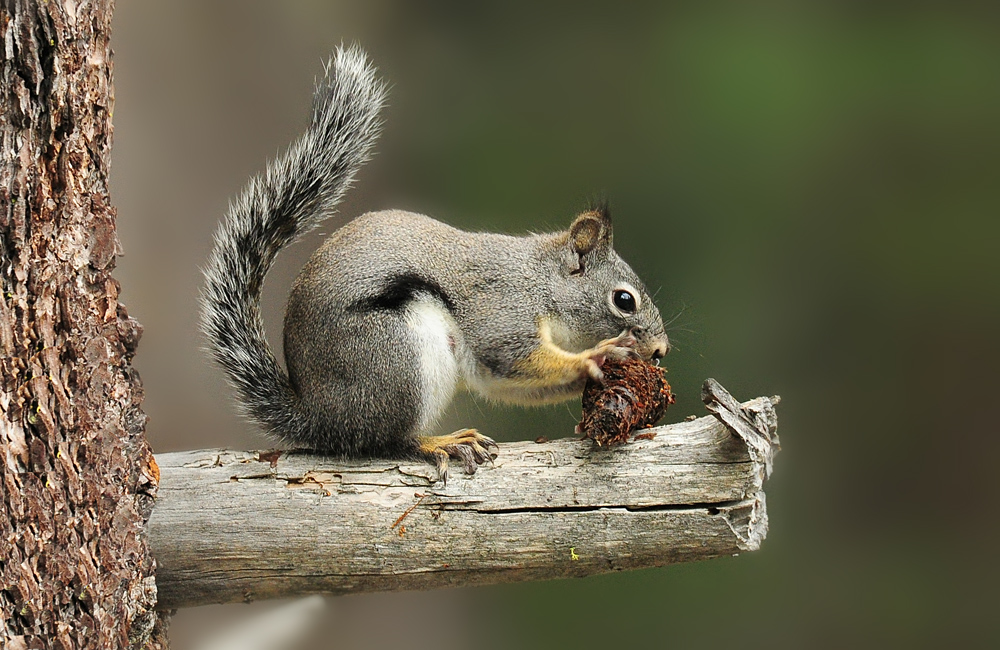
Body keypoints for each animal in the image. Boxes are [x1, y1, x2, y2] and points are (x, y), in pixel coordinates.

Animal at [201, 47, 670, 483]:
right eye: (623, 300)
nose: (660, 351)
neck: (539, 282)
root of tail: (320, 418)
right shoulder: (502, 310)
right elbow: (514, 356)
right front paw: (596, 356)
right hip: (396, 357)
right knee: (382, 442)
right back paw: (440, 442)